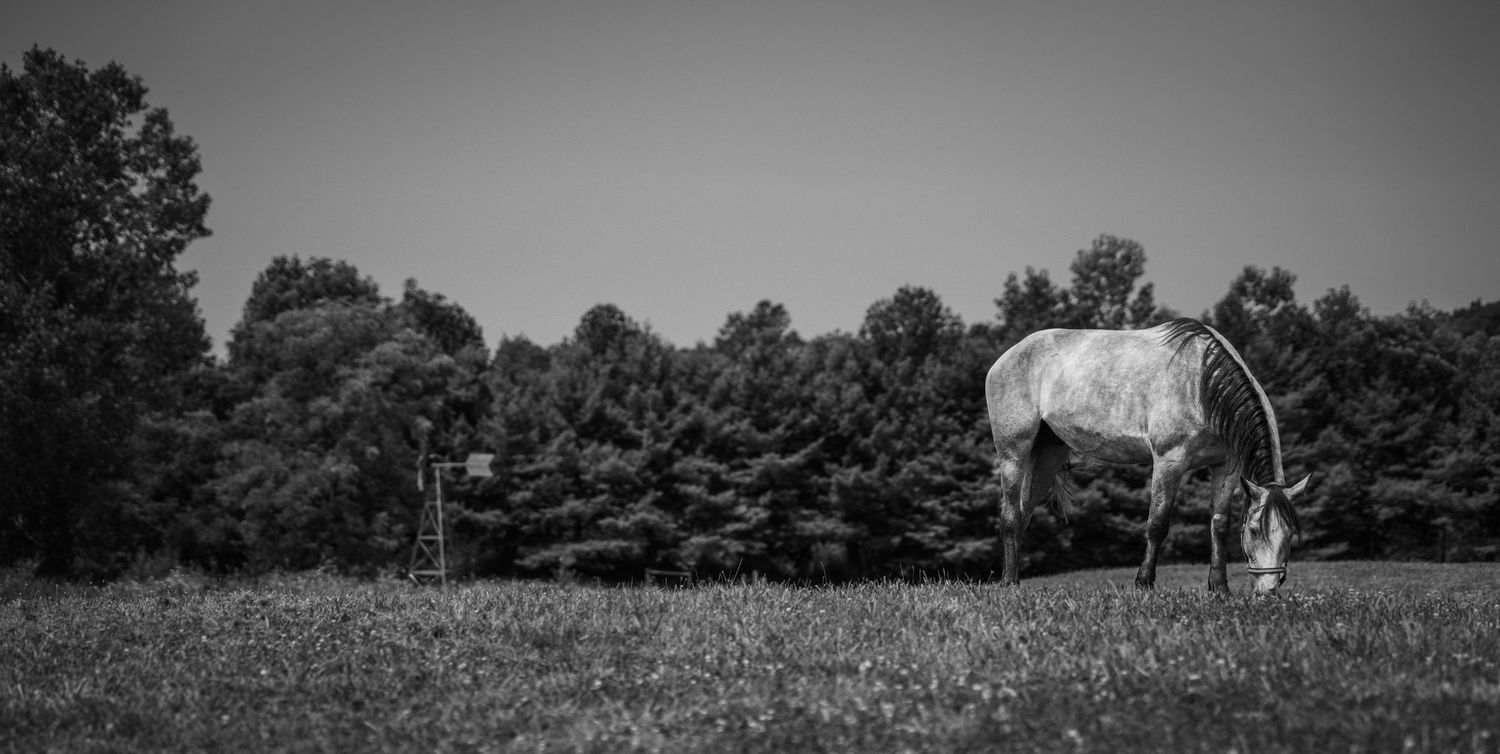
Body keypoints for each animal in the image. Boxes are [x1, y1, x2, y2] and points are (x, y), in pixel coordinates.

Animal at [984, 318, 1309, 594]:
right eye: (1254, 530)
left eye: (1290, 534)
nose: (1268, 591)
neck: (1203, 384)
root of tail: (1007, 357)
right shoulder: (1169, 461)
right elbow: (1157, 524)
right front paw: (1144, 584)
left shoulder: (1226, 467)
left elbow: (1219, 525)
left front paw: (1219, 588)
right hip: (1013, 452)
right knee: (1011, 514)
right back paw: (1009, 583)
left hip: (1048, 455)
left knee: (1024, 512)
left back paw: (1013, 577)